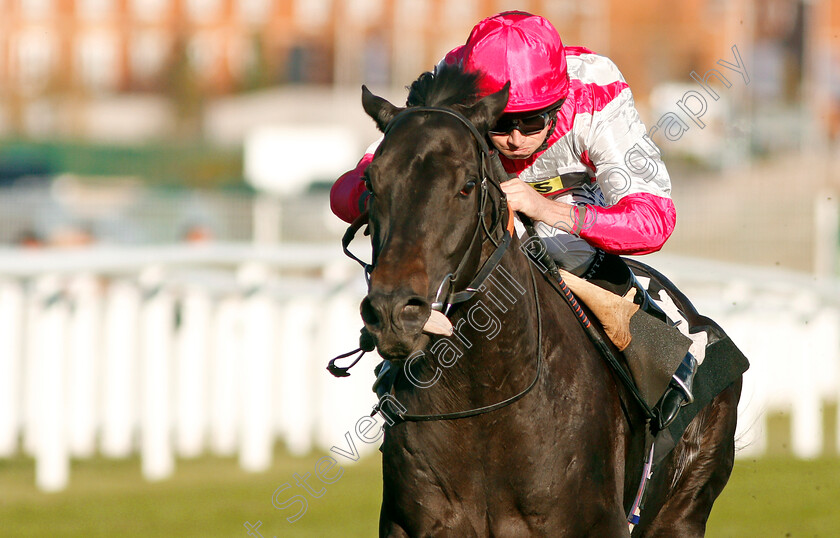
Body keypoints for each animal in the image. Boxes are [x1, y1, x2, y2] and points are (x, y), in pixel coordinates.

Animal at [354, 65, 740, 532]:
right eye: (370, 182)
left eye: (467, 185)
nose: (394, 312)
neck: (483, 403)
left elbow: (651, 205)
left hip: (684, 503)